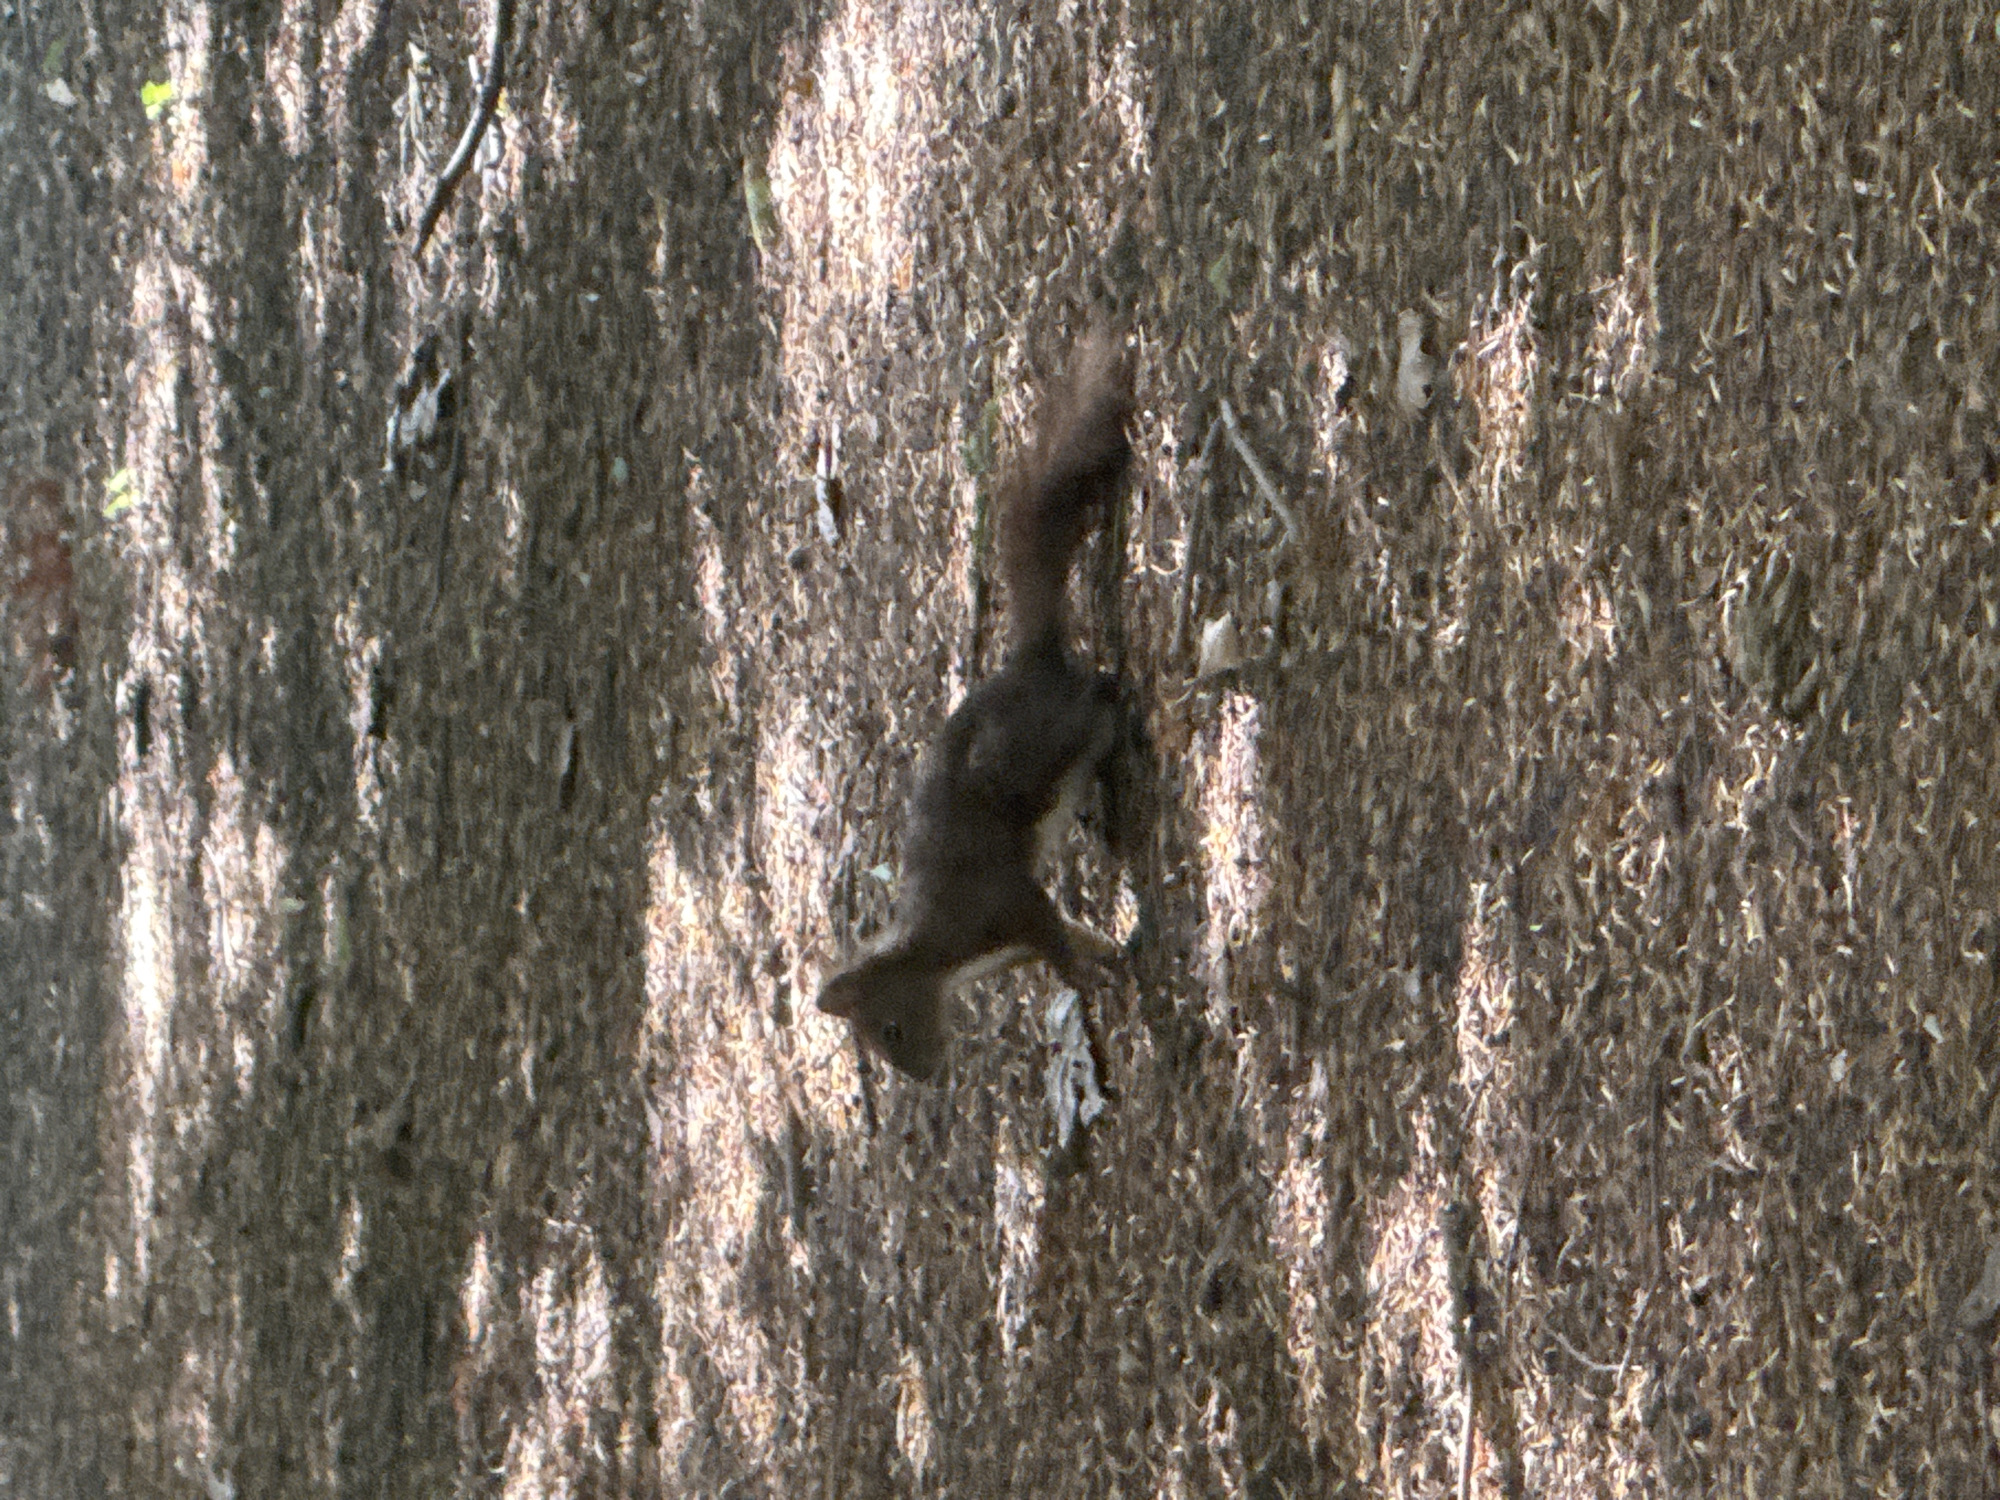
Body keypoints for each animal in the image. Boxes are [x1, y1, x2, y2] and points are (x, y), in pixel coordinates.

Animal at [817, 326, 1143, 1081]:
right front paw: (1108, 956)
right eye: (873, 1047)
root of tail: (1028, 667)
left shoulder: (999, 907)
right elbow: (1067, 934)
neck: (942, 958)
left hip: (1028, 746)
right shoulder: (1010, 941)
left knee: (1095, 697)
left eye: (890, 1027)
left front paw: (1089, 978)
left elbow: (1051, 933)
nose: (923, 1078)